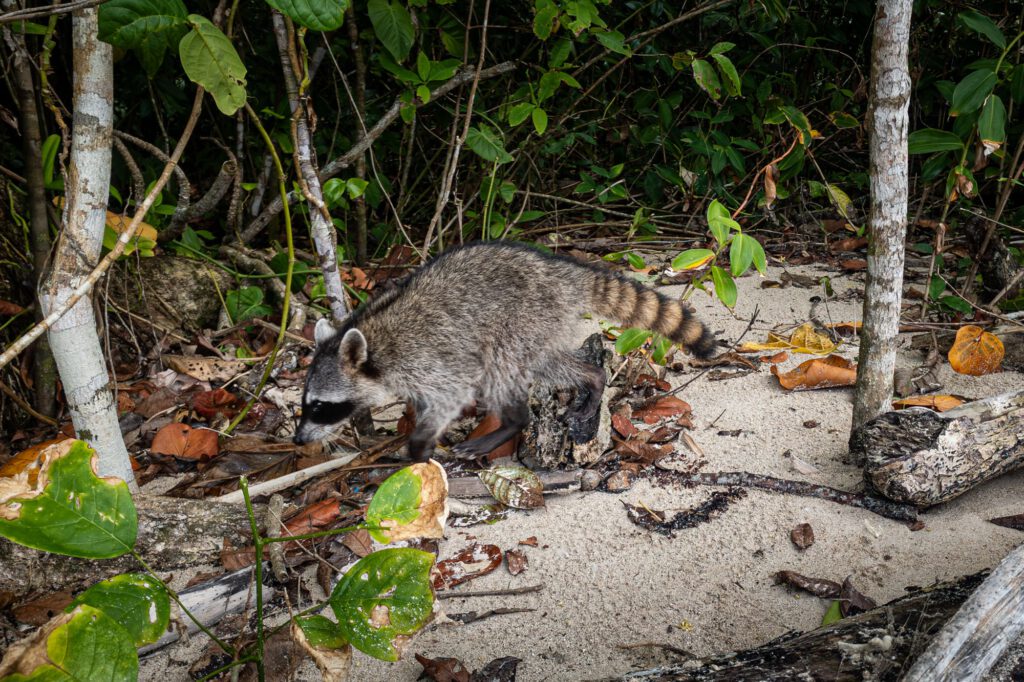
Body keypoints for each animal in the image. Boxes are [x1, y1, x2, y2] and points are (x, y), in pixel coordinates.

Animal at [292, 241, 716, 458]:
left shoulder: (428, 360)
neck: (375, 342)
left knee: (502, 369)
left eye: (320, 407)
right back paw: (592, 378)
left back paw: (513, 421)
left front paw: (417, 448)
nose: (297, 440)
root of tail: (561, 272)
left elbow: (451, 395)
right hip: (539, 324)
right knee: (548, 363)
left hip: (521, 319)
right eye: (305, 403)